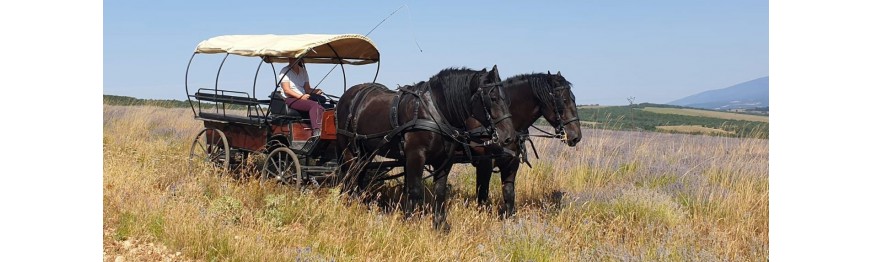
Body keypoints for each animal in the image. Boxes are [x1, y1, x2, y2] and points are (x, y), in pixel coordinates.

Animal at [336, 66, 516, 231]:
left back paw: (357, 204)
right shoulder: (416, 156)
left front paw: (440, 225)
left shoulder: (445, 160)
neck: (434, 112)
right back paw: (348, 204)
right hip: (349, 151)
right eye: (492, 98)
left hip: (366, 153)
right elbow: (415, 189)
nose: (509, 137)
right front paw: (411, 222)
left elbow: (440, 191)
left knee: (358, 176)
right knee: (349, 177)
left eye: (507, 99)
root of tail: (348, 95)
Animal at [466, 70, 584, 218]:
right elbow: (482, 194)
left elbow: (509, 194)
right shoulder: (484, 164)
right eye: (563, 100)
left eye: (573, 98)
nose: (576, 136)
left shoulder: (512, 163)